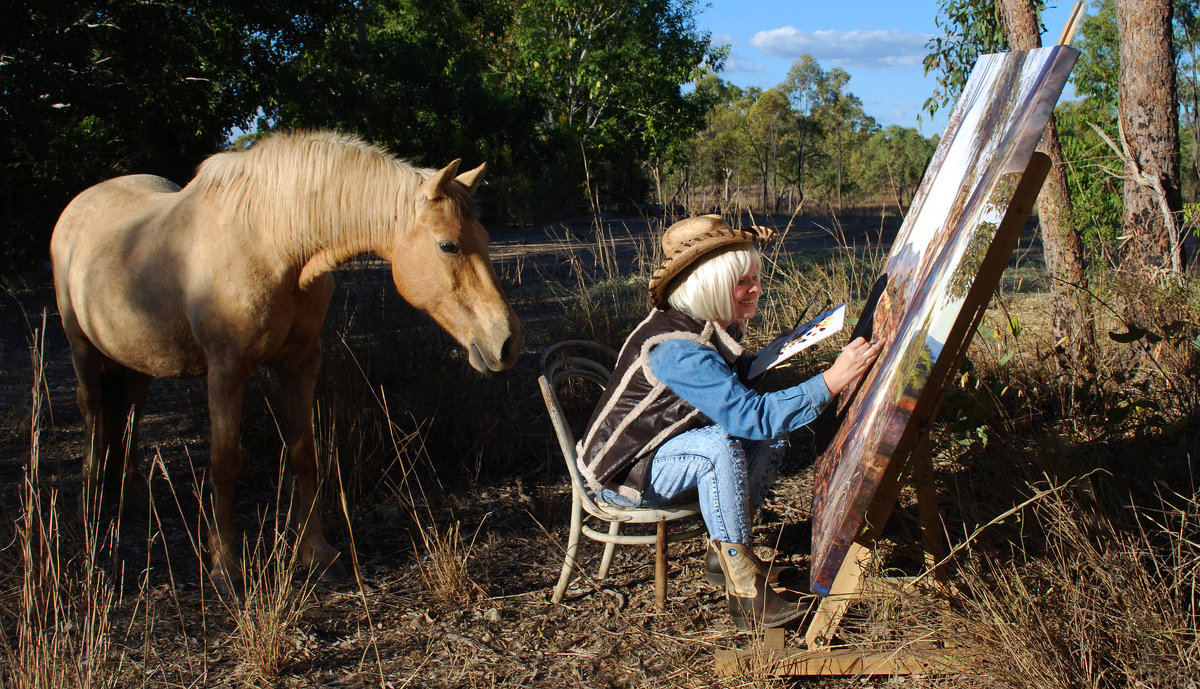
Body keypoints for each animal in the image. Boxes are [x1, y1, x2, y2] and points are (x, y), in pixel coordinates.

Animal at [50, 130, 525, 595]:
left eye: (486, 239)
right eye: (448, 245)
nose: (507, 342)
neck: (272, 244)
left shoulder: (301, 364)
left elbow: (303, 455)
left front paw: (316, 554)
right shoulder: (226, 373)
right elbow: (225, 463)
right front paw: (226, 568)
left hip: (137, 361)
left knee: (129, 414)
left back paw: (130, 497)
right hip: (81, 347)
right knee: (94, 413)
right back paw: (91, 504)